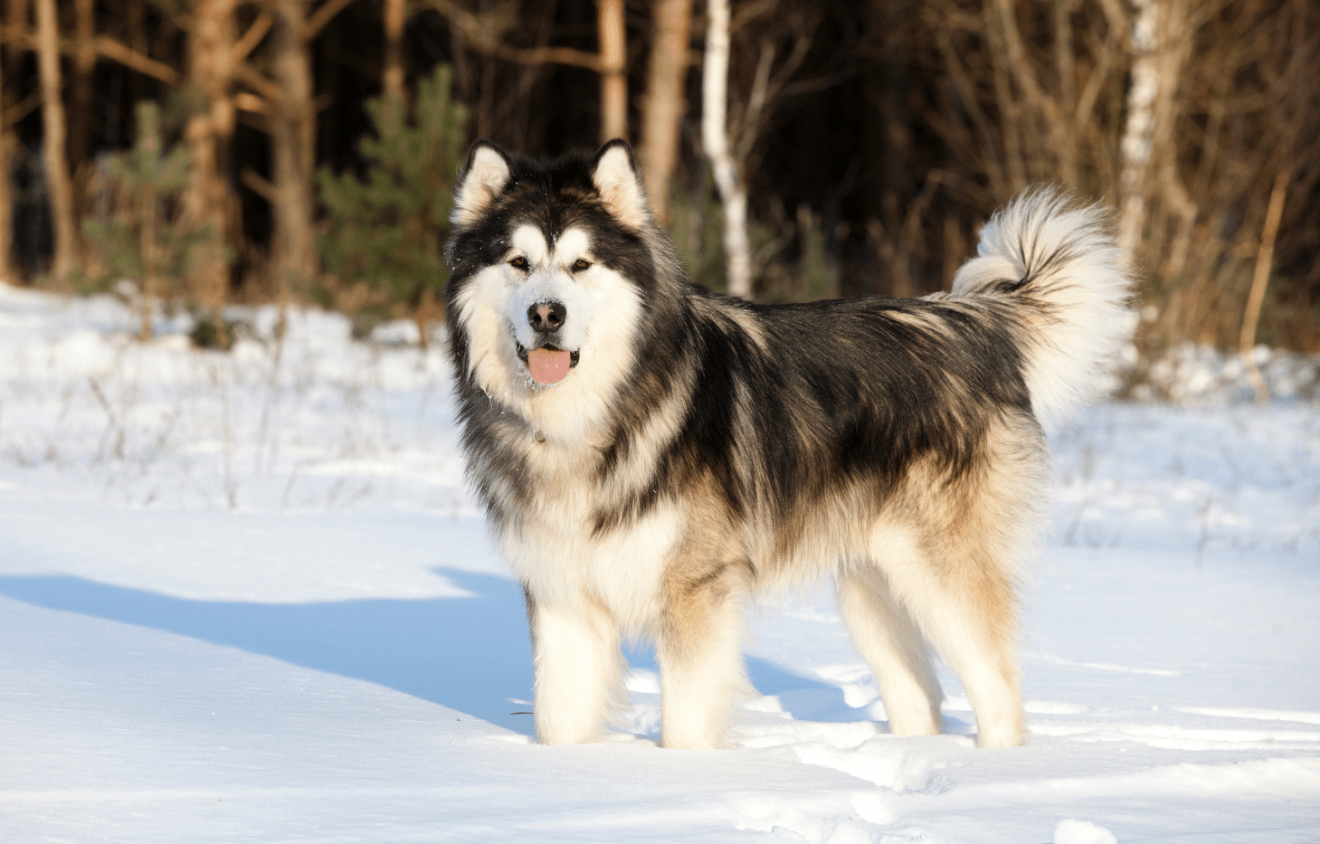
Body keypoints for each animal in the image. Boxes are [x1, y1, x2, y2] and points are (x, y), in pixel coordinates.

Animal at [446, 140, 1135, 750]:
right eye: (518, 263)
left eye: (581, 265)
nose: (547, 315)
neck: (589, 416)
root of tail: (969, 321)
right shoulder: (560, 596)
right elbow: (558, 722)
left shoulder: (694, 593)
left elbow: (684, 726)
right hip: (871, 586)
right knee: (920, 699)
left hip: (940, 574)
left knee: (997, 690)